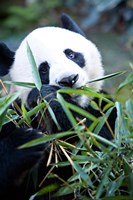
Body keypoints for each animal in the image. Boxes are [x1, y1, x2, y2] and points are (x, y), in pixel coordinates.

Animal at [0, 13, 116, 199]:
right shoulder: (11, 114)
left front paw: (50, 96)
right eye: (43, 70)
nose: (69, 79)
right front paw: (25, 142)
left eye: (71, 55)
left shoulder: (105, 107)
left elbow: (102, 149)